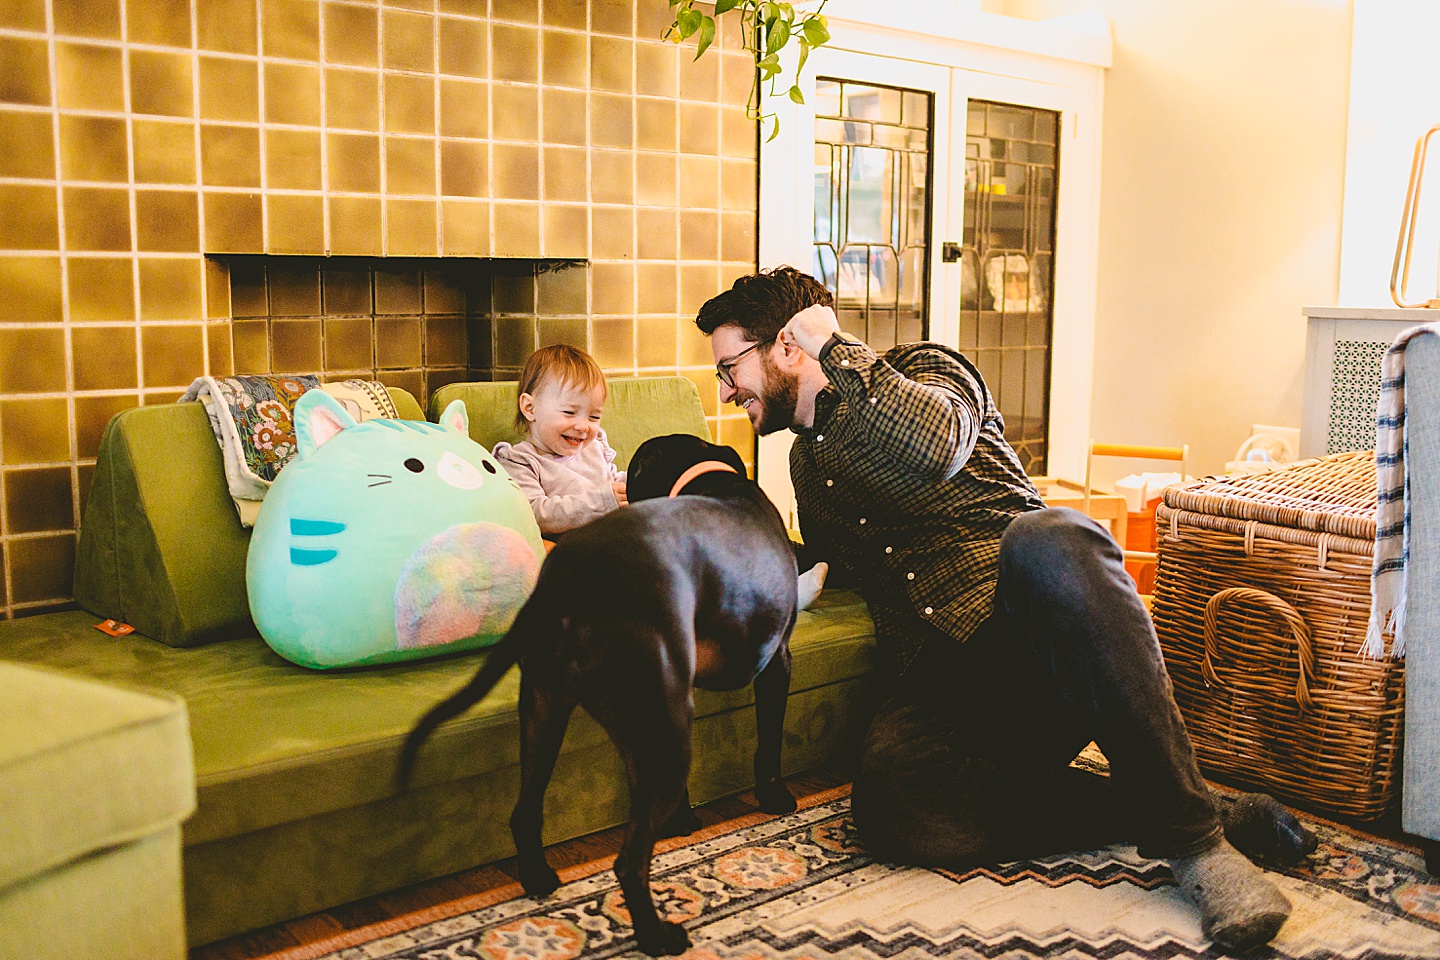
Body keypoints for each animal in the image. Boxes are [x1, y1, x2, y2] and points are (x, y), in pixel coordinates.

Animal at [397, 434, 800, 955]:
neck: (708, 478)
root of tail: (570, 576)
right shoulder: (776, 662)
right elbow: (769, 743)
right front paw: (775, 797)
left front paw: (684, 820)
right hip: (662, 734)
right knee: (628, 863)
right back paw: (657, 936)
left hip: (552, 713)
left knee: (525, 813)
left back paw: (539, 879)